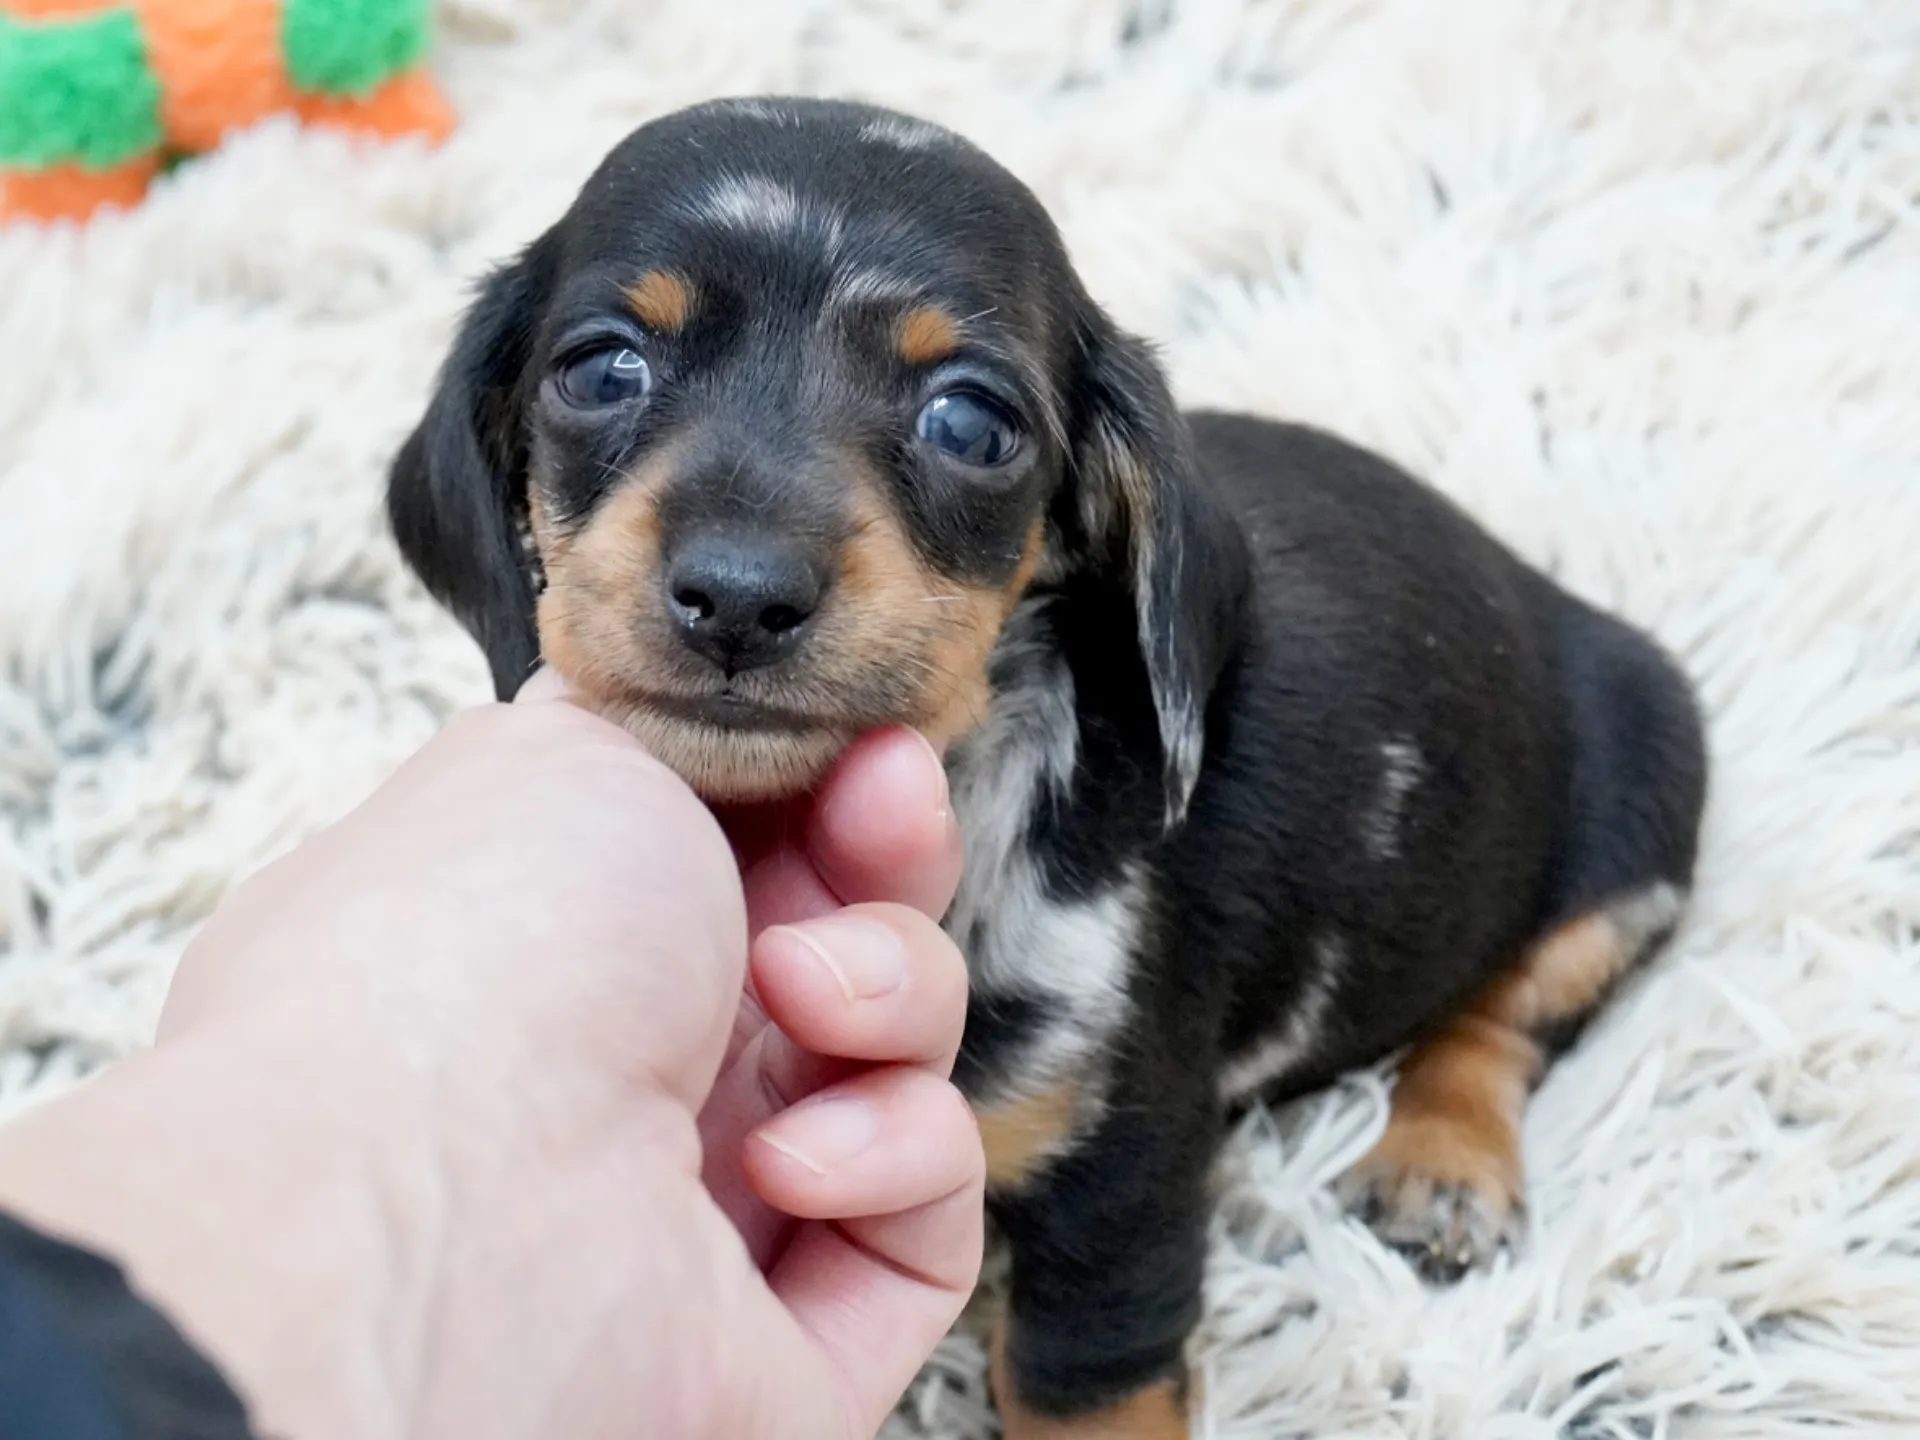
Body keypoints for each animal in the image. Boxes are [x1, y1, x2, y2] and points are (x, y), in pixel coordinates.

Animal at [385, 96, 1712, 1436]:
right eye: (602, 368)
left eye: (971, 423)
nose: (740, 597)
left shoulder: (1118, 1173)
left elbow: (1081, 1382)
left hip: (1638, 809)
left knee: (1506, 1012)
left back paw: (1444, 1159)